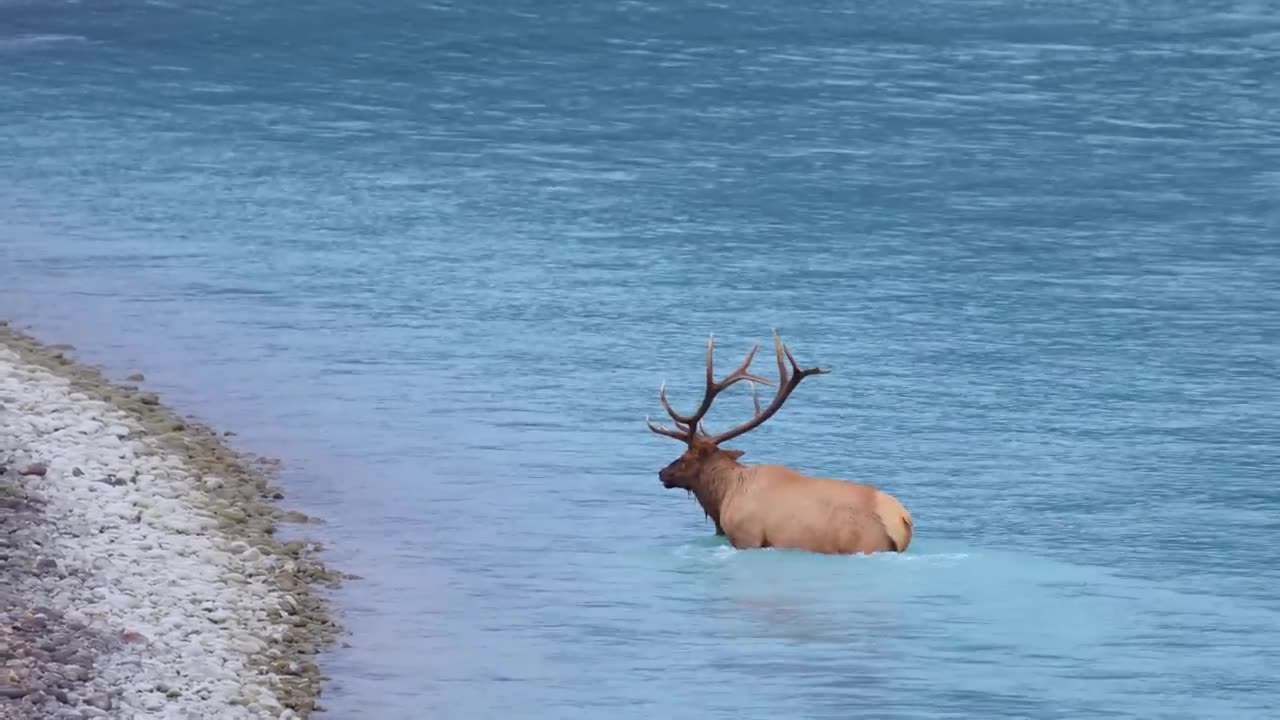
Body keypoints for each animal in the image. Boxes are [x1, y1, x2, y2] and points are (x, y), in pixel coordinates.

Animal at [650, 330, 911, 556]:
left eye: (685, 457)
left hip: (864, 543)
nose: (662, 472)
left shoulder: (746, 536)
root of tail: (902, 520)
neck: (724, 494)